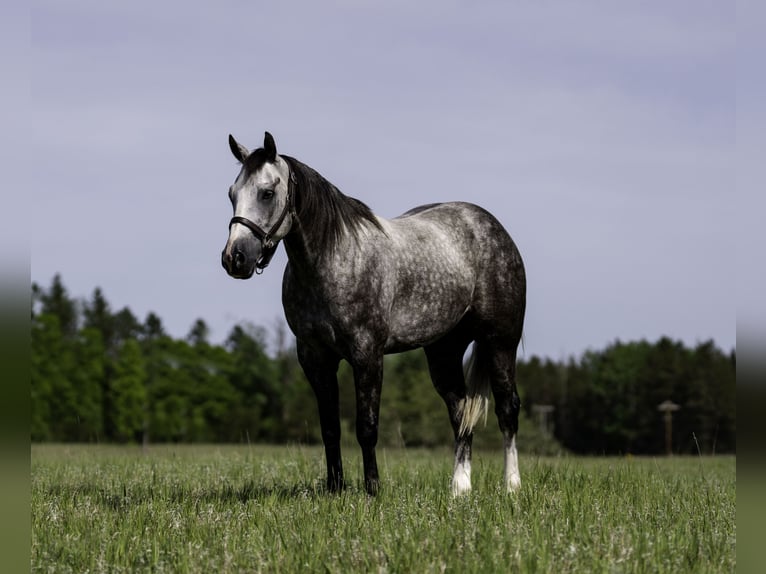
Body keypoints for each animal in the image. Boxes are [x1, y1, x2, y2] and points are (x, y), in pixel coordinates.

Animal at [221, 132, 526, 496]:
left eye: (267, 193)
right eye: (232, 194)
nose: (235, 258)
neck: (333, 260)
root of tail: (491, 227)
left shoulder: (367, 355)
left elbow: (366, 427)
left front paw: (372, 490)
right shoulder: (315, 358)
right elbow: (330, 429)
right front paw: (335, 489)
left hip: (500, 342)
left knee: (508, 409)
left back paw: (512, 486)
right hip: (444, 350)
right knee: (460, 410)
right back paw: (459, 489)